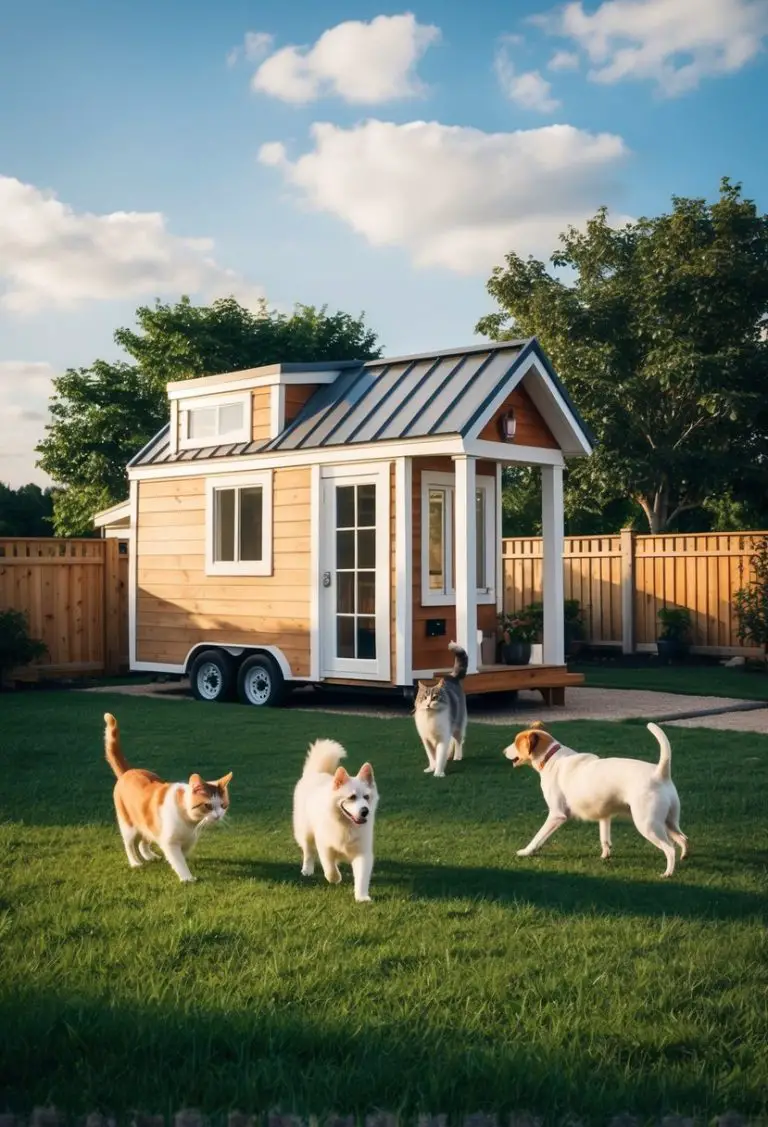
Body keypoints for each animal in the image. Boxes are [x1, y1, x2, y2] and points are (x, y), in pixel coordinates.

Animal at [103, 712, 232, 879]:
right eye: (208, 805)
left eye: (223, 805)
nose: (218, 816)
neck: (189, 821)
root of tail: (128, 771)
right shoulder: (170, 842)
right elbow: (178, 860)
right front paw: (187, 878)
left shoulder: (188, 841)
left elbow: (182, 855)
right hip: (128, 825)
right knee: (130, 845)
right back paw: (135, 862)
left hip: (148, 821)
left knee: (143, 841)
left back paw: (149, 856)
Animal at [290, 739, 376, 906]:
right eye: (352, 797)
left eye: (366, 797)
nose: (365, 811)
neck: (345, 825)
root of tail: (316, 773)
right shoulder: (324, 846)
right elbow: (329, 866)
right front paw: (335, 878)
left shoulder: (362, 853)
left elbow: (362, 877)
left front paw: (361, 897)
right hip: (305, 833)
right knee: (308, 852)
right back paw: (307, 869)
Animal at [412, 644, 466, 775]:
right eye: (424, 698)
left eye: (435, 697)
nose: (428, 704)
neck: (430, 717)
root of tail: (451, 677)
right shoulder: (426, 740)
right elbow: (432, 756)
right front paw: (431, 768)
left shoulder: (442, 738)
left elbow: (440, 755)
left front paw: (438, 773)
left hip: (458, 726)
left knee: (458, 741)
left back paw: (457, 756)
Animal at [502, 716, 690, 874]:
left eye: (516, 743)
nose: (503, 751)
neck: (551, 758)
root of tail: (660, 773)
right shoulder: (604, 815)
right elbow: (604, 838)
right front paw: (605, 855)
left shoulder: (557, 815)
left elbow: (538, 837)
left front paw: (526, 851)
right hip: (669, 821)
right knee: (683, 838)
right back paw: (684, 857)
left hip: (647, 824)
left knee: (670, 849)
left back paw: (667, 873)